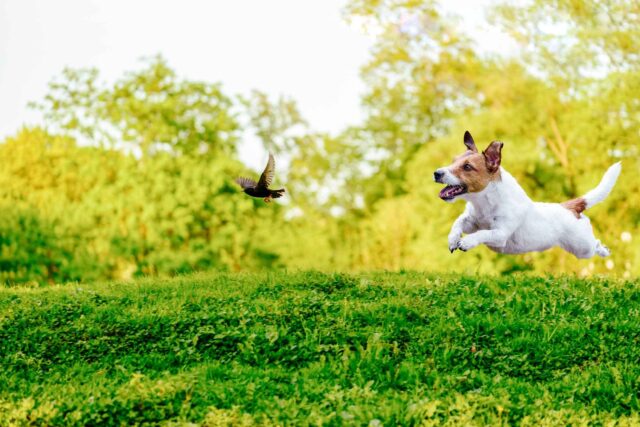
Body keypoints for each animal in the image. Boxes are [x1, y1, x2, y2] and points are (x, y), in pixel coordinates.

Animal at [436, 130, 620, 260]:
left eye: (467, 167)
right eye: (453, 161)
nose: (436, 173)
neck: (484, 202)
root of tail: (569, 207)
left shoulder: (500, 234)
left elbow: (482, 234)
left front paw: (467, 241)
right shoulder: (471, 221)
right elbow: (458, 223)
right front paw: (453, 239)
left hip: (582, 247)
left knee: (594, 245)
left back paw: (603, 250)